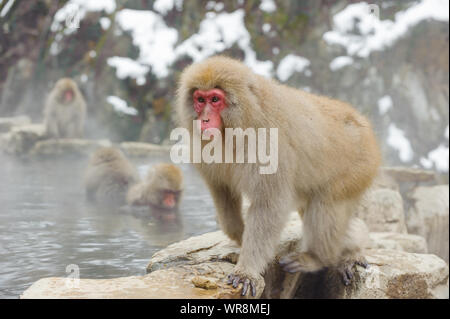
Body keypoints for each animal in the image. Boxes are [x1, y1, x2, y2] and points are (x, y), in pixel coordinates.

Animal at [176, 55, 380, 298]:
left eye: (215, 99)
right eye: (200, 99)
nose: (204, 120)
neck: (241, 123)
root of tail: (363, 123)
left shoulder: (268, 146)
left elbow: (269, 205)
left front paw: (247, 270)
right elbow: (222, 190)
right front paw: (240, 236)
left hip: (358, 168)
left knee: (327, 205)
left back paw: (318, 258)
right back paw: (352, 250)